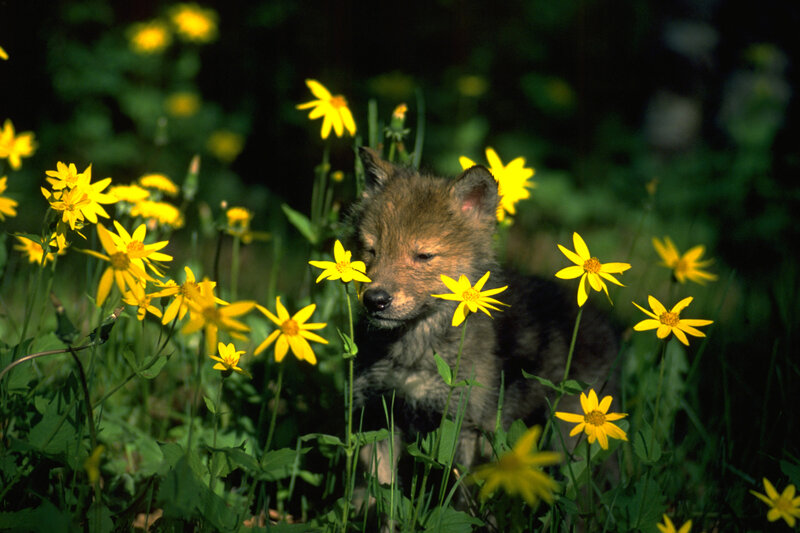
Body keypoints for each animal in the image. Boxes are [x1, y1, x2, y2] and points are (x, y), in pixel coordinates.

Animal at [349, 147, 617, 487]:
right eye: (371, 250)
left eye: (423, 255)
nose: (375, 300)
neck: (413, 351)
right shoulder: (378, 416)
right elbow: (378, 493)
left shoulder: (462, 427)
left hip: (574, 439)